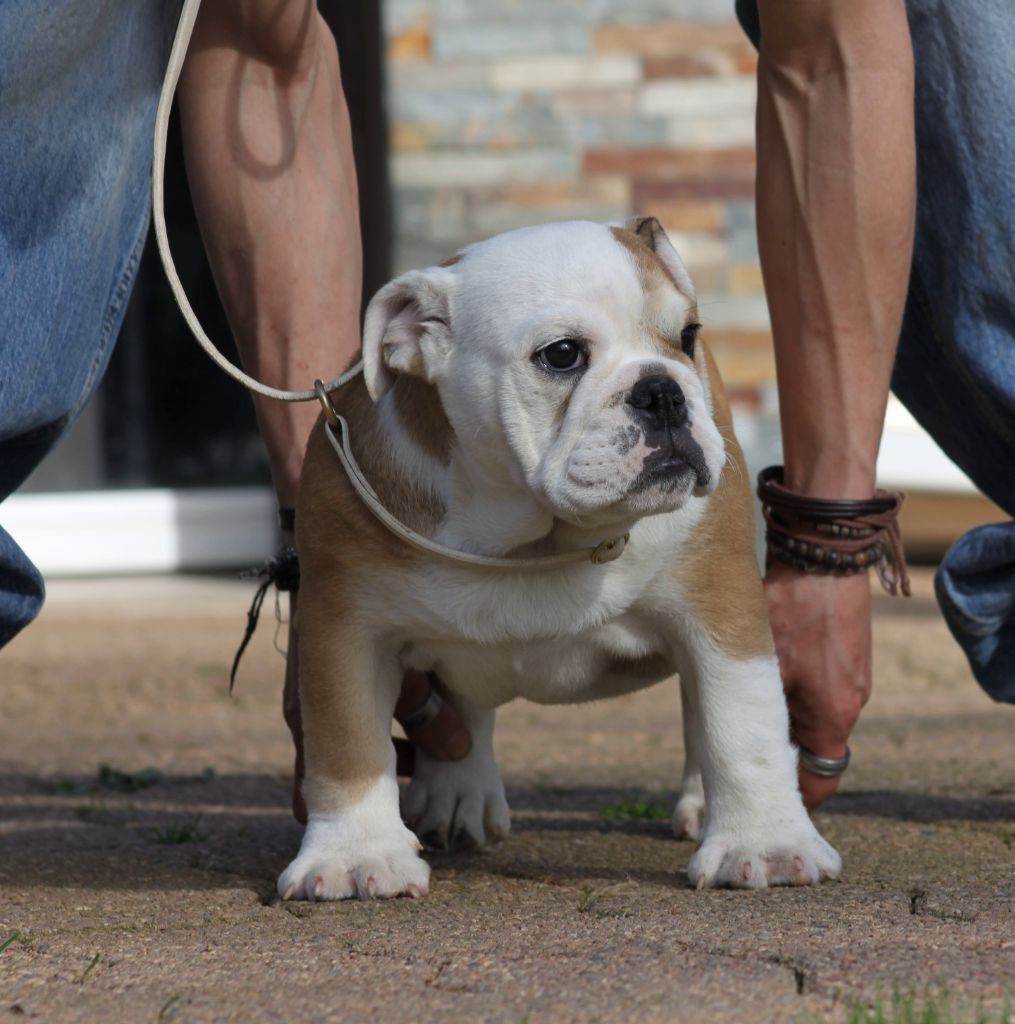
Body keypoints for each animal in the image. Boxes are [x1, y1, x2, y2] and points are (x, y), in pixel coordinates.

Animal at [278, 214, 839, 897]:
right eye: (563, 355)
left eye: (688, 336)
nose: (662, 391)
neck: (532, 538)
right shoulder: (344, 627)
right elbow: (348, 741)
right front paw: (355, 856)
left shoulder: (722, 608)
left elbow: (742, 724)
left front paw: (767, 844)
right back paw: (457, 795)